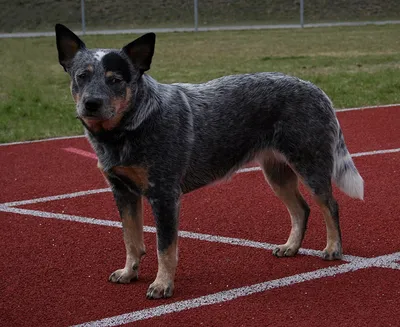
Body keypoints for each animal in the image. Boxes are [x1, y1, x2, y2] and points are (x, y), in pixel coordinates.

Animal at [54, 23, 364, 300]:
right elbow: (131, 239)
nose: (91, 103)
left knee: (330, 206)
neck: (128, 129)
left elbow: (165, 248)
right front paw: (129, 272)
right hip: (276, 173)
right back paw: (290, 247)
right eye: (82, 76)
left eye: (115, 79)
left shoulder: (164, 195)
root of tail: (317, 90)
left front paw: (162, 285)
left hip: (310, 164)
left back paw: (333, 249)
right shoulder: (122, 191)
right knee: (301, 209)